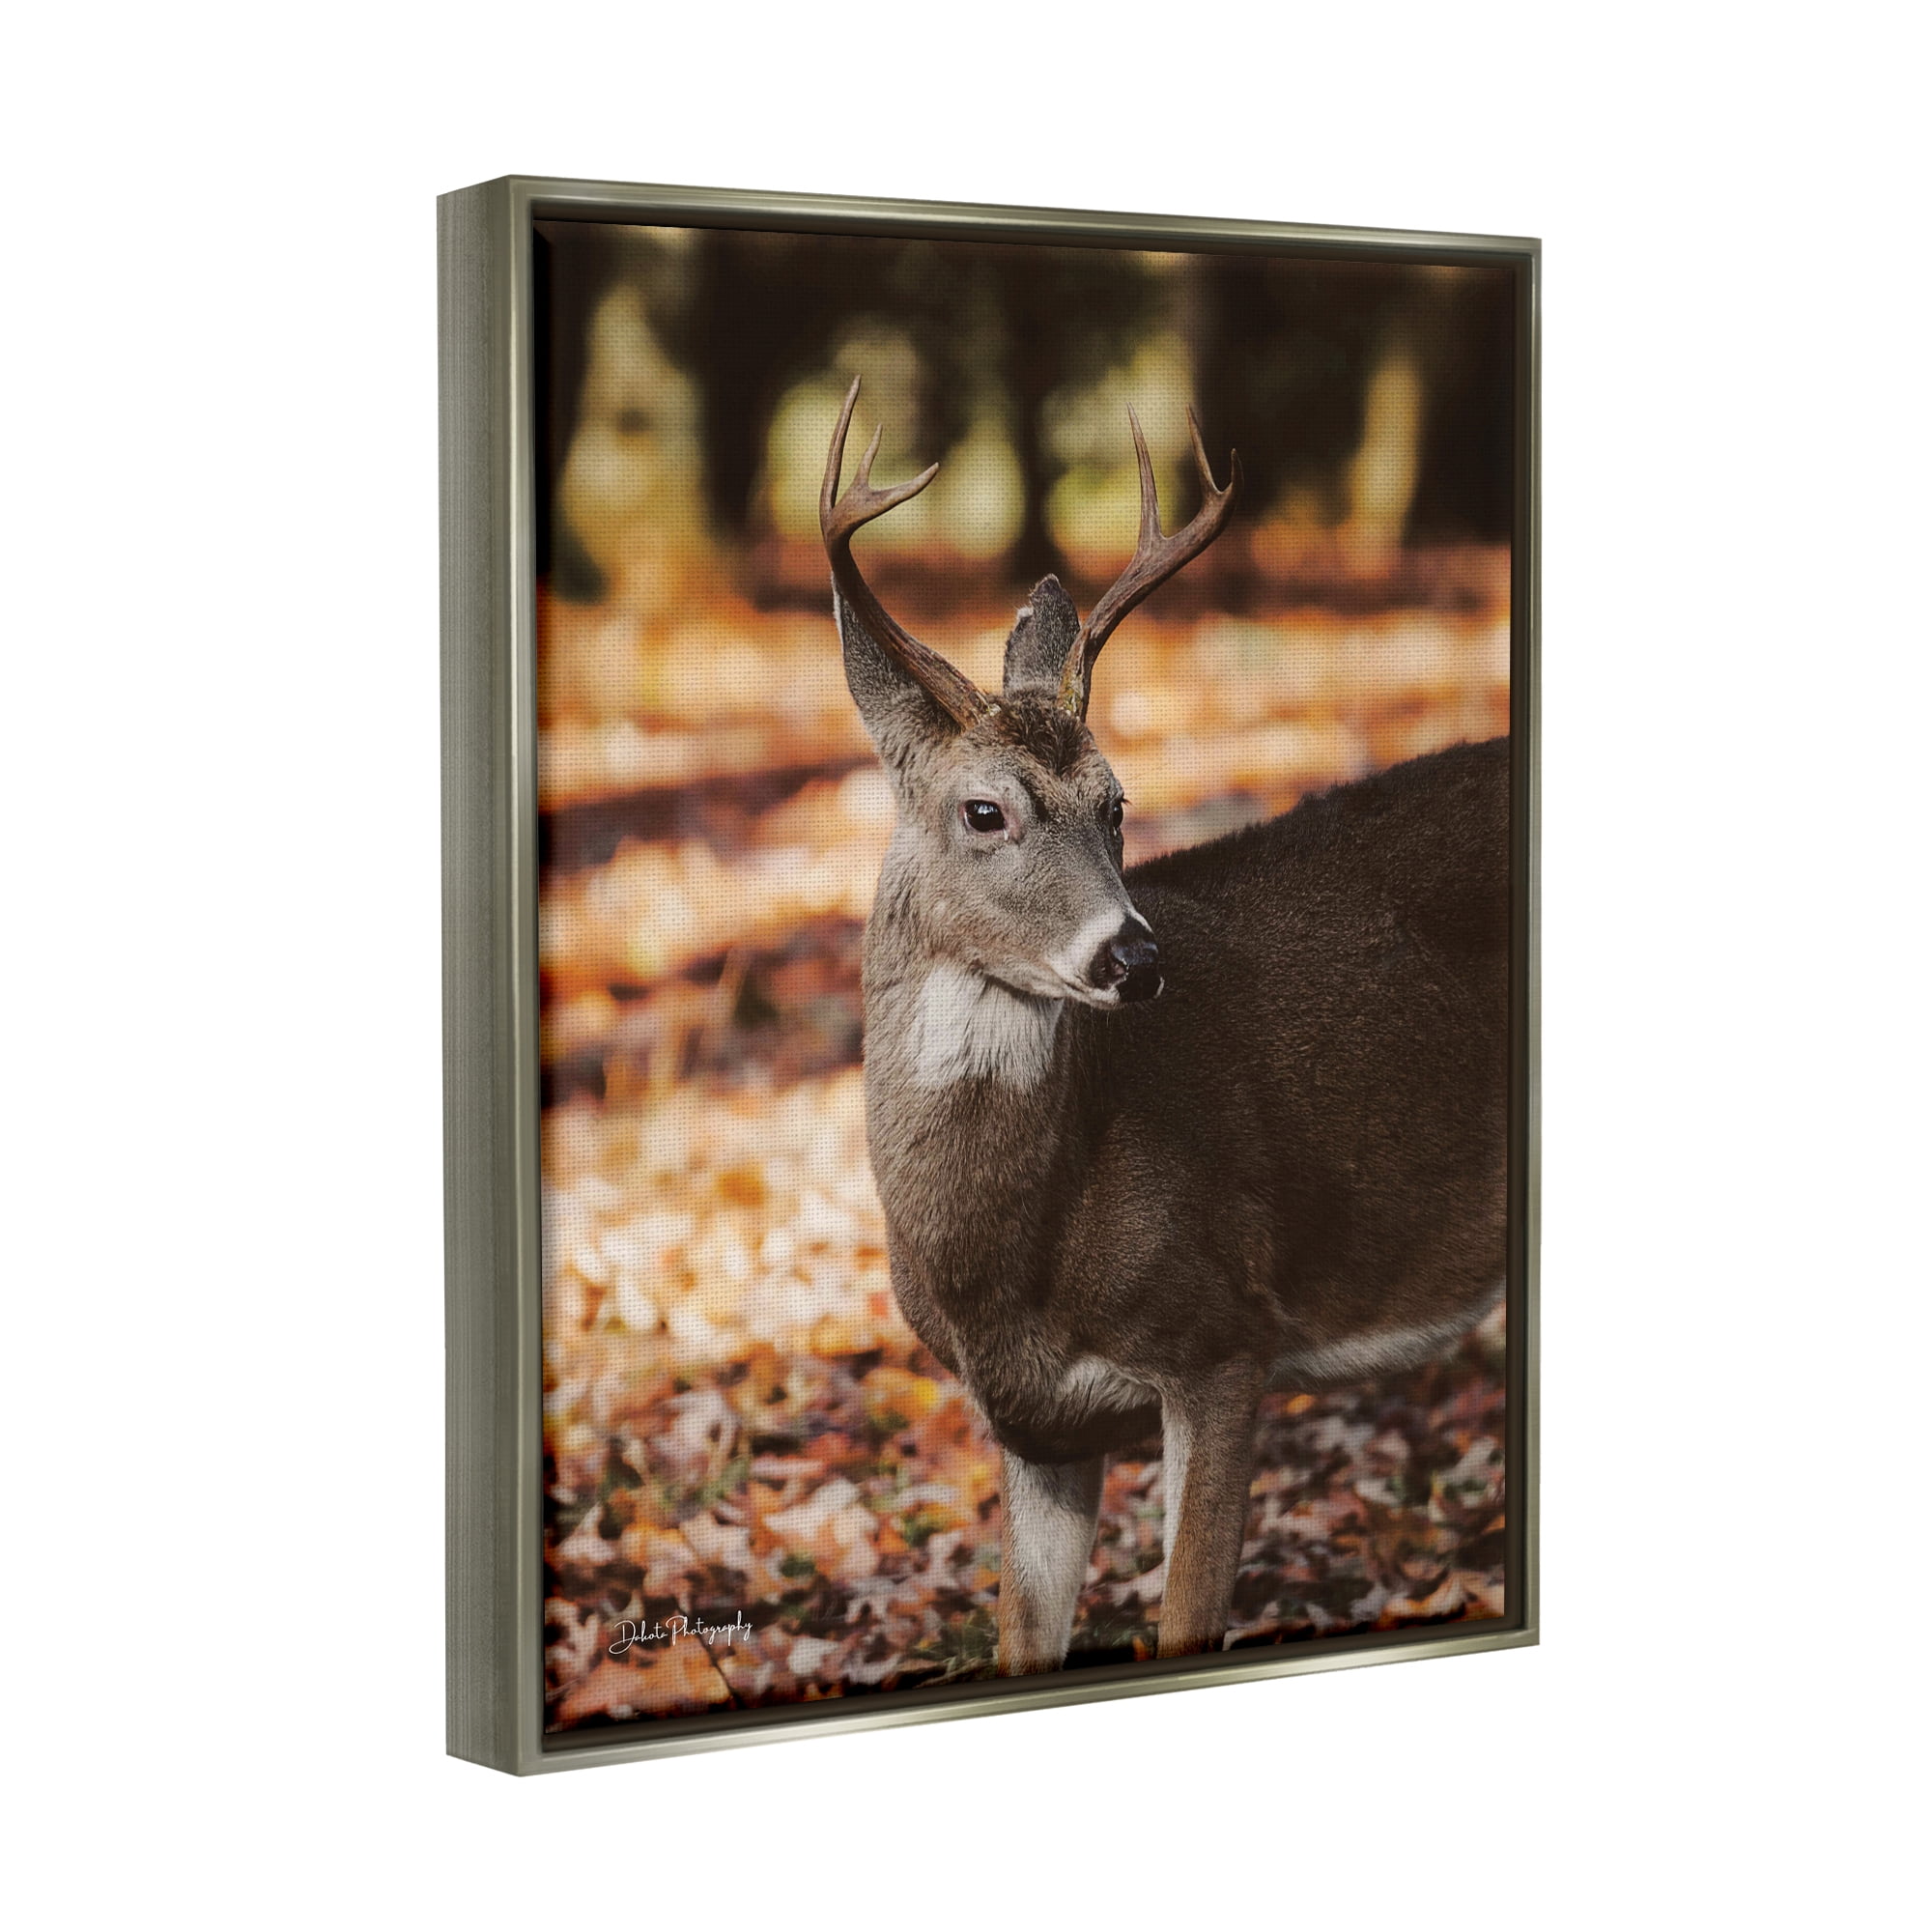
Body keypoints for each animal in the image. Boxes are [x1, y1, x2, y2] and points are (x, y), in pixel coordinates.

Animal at [821, 378, 1510, 1673]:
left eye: (1116, 803)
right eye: (983, 809)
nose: (1134, 956)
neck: (1009, 1267)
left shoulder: (1223, 1337)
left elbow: (1187, 1614)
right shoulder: (1036, 1427)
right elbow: (1023, 1639)